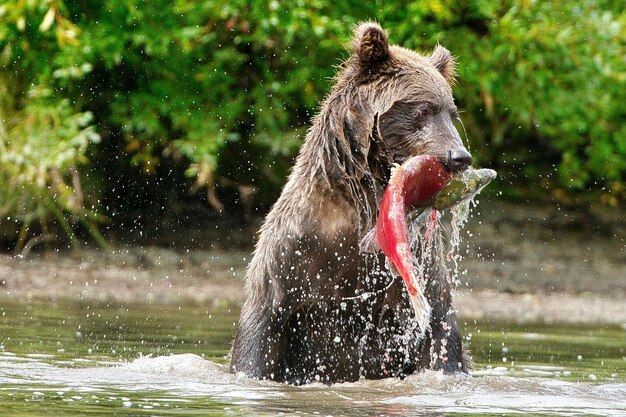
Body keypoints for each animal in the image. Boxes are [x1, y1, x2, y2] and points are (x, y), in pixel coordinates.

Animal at [232, 21, 470, 382]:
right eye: (424, 109)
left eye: (452, 113)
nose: (459, 156)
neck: (363, 202)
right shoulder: (294, 255)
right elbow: (259, 337)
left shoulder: (419, 263)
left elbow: (441, 333)